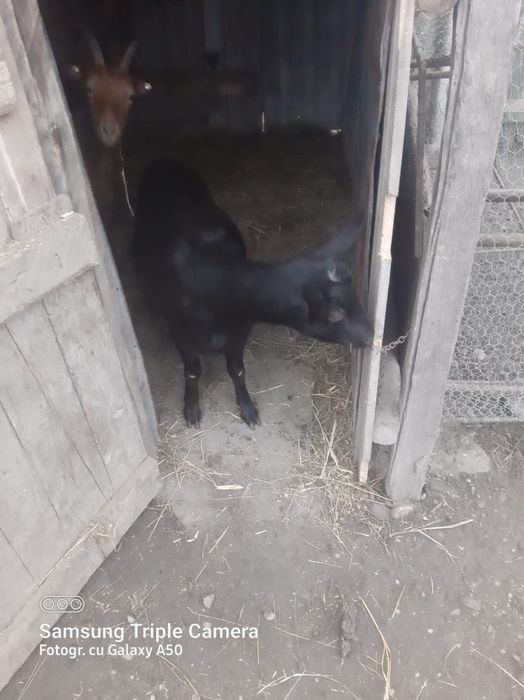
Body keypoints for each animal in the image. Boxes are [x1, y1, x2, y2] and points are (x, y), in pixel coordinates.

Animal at [133, 159, 374, 428]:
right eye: (334, 313)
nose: (370, 336)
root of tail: (163, 162)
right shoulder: (182, 334)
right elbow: (193, 372)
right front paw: (191, 409)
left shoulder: (239, 334)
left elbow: (237, 370)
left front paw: (247, 408)